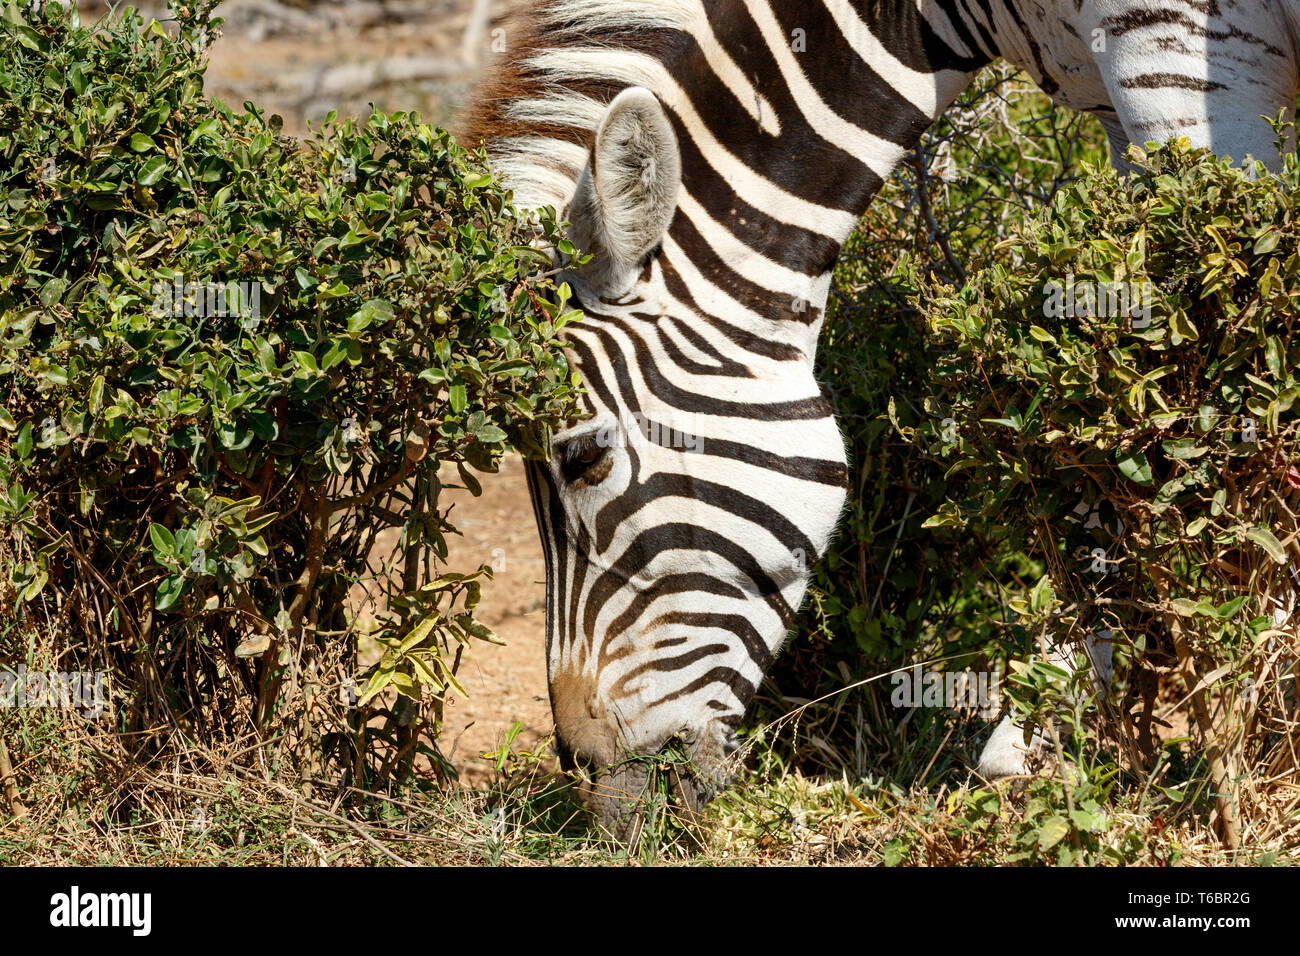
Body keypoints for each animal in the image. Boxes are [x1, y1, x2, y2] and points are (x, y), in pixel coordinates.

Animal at [462, 0, 1294, 837]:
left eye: (586, 458)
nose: (597, 793)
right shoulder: (1119, 99)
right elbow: (1114, 383)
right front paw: (1032, 741)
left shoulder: (1179, 50)